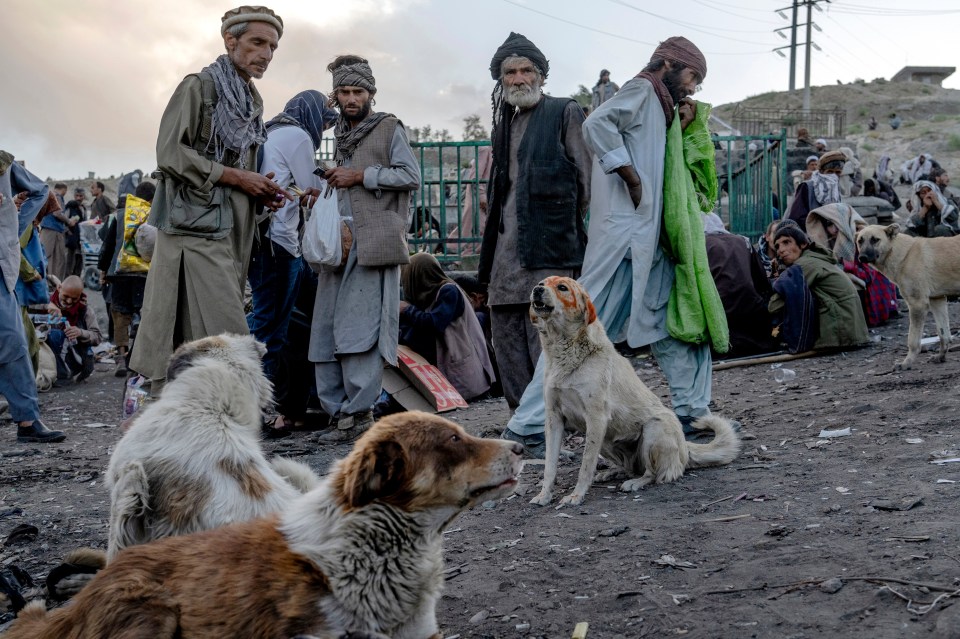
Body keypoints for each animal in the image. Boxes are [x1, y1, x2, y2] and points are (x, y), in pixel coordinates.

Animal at [524, 278, 744, 508]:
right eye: (542, 282)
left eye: (562, 288)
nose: (537, 289)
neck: (564, 350)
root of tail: (685, 447)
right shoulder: (554, 418)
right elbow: (550, 465)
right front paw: (544, 495)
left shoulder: (596, 418)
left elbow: (586, 464)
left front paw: (576, 495)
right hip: (606, 439)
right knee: (629, 467)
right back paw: (612, 472)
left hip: (653, 428)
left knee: (653, 473)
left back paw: (635, 483)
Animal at [856, 222, 960, 370]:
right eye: (860, 241)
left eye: (875, 240)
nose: (862, 257)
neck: (904, 255)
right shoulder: (937, 300)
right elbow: (943, 334)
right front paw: (941, 357)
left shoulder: (917, 304)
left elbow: (913, 340)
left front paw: (907, 363)